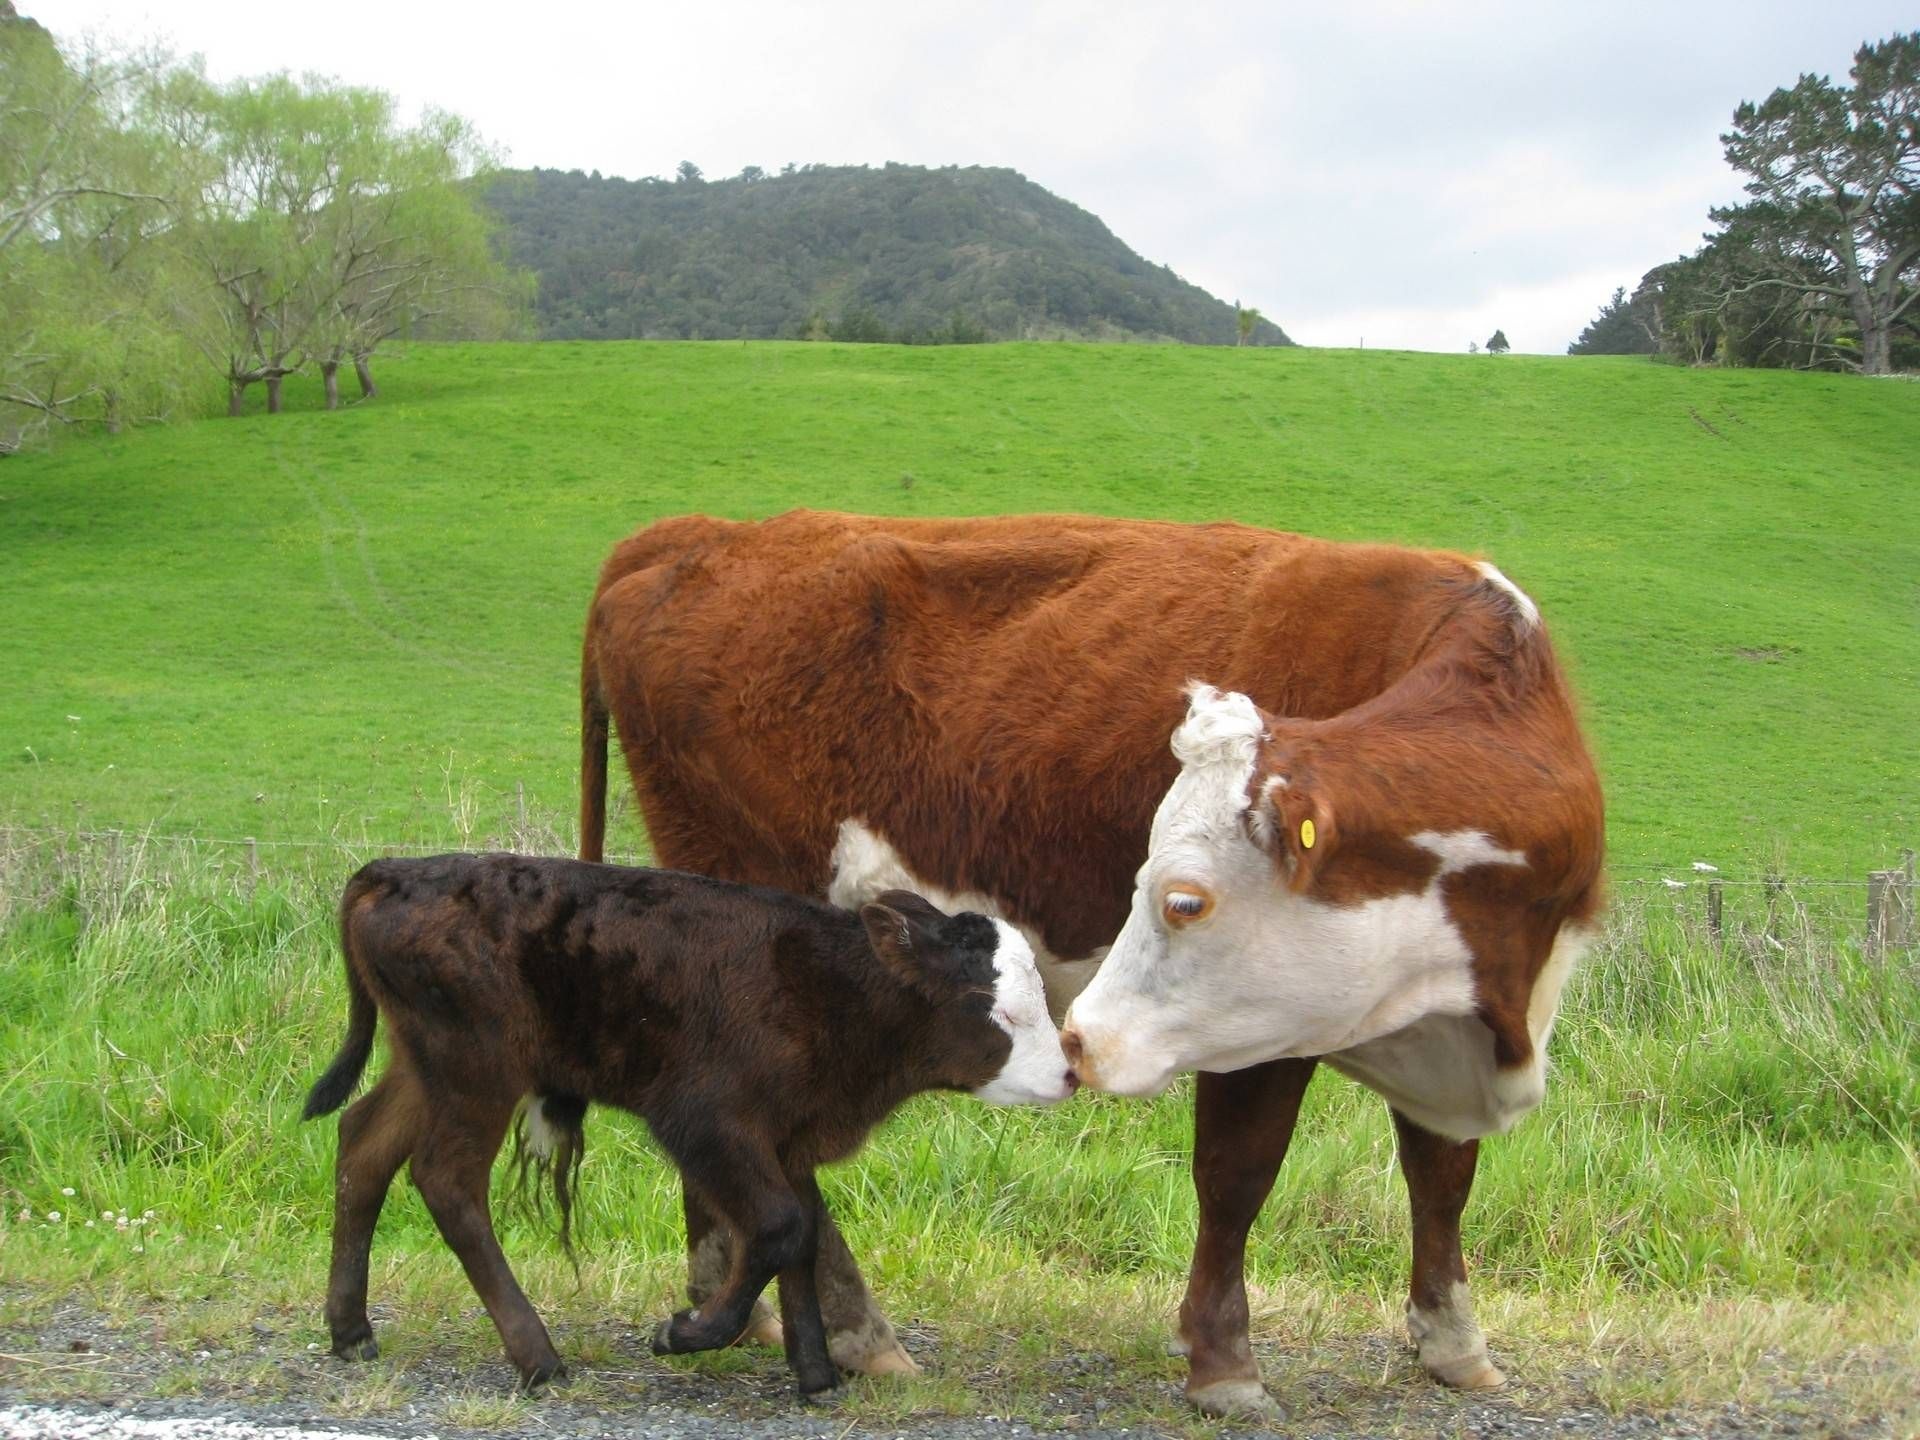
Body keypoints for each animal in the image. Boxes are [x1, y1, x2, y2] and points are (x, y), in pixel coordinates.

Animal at [307, 856, 1075, 1397]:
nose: (1069, 1072)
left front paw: (815, 1374)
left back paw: (350, 1330)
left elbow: (802, 1233)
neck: (827, 990)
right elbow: (778, 1227)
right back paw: (539, 1358)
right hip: (476, 1068)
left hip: (426, 1063)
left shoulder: (789, 1137)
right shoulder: (705, 1122)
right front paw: (689, 1332)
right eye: (997, 1008)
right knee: (446, 1181)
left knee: (362, 1145)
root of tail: (395, 871)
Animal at [579, 510, 1605, 1420]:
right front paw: (1225, 1365)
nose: (1077, 1042)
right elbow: (1237, 1177)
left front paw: (1454, 1341)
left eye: (1183, 898)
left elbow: (1442, 1174)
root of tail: (701, 532)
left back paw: (730, 1296)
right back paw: (858, 1330)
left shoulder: (1451, 1012)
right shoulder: (1262, 1029)